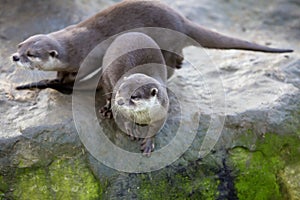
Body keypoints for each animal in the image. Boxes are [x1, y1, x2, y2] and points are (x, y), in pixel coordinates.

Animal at [11, 0, 292, 94]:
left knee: (176, 57)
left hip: (167, 39)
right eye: (20, 44)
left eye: (30, 55)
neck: (74, 42)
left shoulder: (87, 56)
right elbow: (61, 75)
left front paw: (63, 83)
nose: (14, 56)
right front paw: (54, 80)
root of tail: (181, 20)